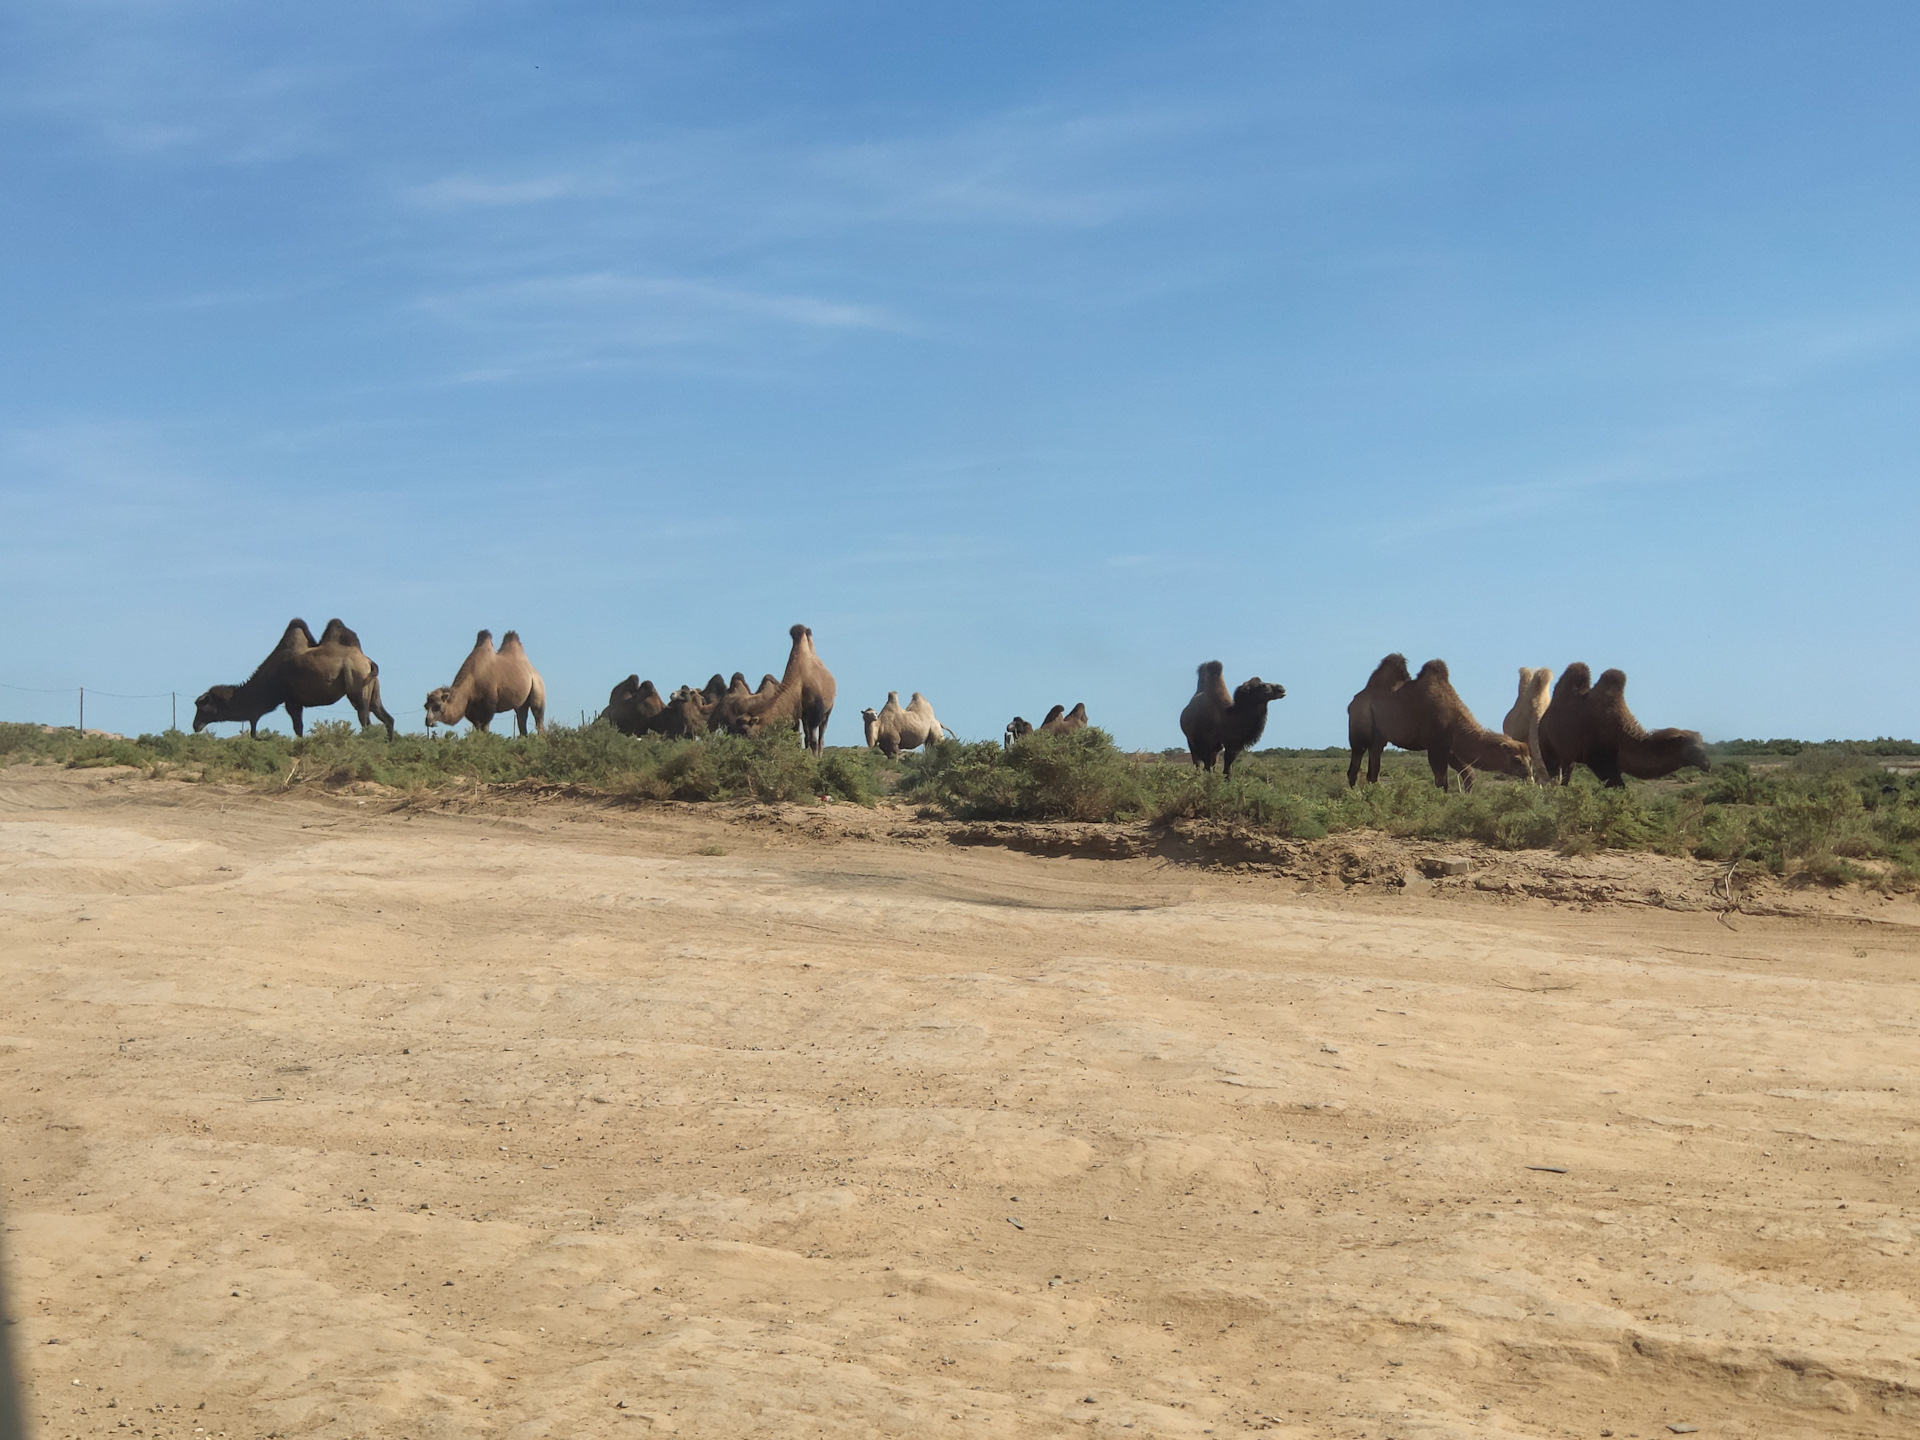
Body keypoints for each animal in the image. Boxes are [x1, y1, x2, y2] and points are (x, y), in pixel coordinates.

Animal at [193, 617, 396, 739]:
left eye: (202, 706)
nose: (195, 725)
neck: (267, 682)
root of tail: (367, 661)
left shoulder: (291, 700)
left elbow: (298, 728)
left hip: (356, 683)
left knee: (365, 719)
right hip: (372, 688)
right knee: (386, 717)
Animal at [720, 624, 837, 755]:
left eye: (746, 730)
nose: (742, 746)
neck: (798, 684)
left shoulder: (814, 713)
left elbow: (813, 741)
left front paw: (814, 758)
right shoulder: (801, 715)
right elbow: (804, 739)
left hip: (828, 709)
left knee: (821, 735)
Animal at [1346, 654, 1532, 792]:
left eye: (1529, 759)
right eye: (1517, 759)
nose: (1528, 774)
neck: (1455, 720)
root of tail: (1355, 700)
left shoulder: (1450, 747)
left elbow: (1468, 775)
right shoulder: (1435, 745)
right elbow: (1442, 781)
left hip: (1379, 735)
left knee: (1374, 764)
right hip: (1359, 721)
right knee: (1356, 759)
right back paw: (1353, 796)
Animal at [1535, 663, 1709, 788]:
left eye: (1703, 745)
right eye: (1695, 749)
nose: (1707, 764)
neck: (1621, 733)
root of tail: (1543, 719)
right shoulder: (1598, 760)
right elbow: (1618, 787)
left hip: (1568, 756)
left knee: (1564, 777)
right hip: (1547, 746)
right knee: (1554, 775)